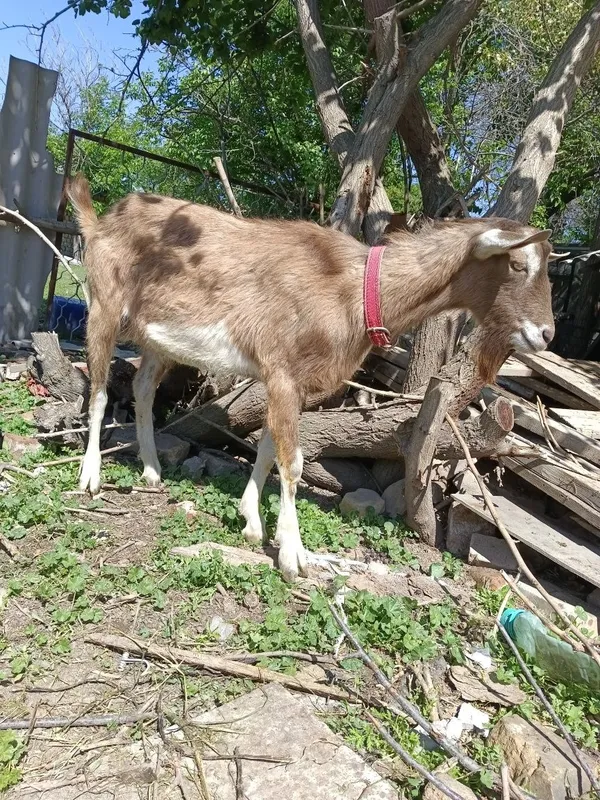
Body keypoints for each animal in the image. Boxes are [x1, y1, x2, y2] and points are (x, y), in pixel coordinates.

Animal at [67, 174, 555, 582]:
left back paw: (151, 469)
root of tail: (101, 220)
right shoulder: (283, 371)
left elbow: (269, 449)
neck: (352, 289)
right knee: (99, 390)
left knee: (143, 388)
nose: (546, 334)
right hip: (103, 306)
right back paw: (90, 477)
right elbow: (293, 462)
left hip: (158, 337)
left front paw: (252, 522)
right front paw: (293, 555)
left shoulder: (291, 382)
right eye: (517, 265)